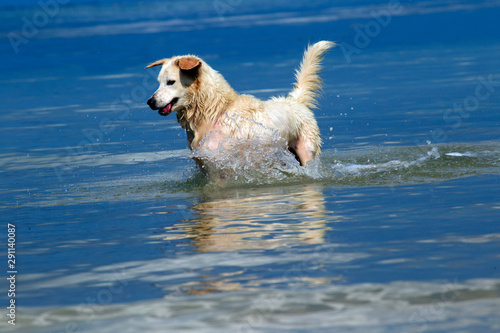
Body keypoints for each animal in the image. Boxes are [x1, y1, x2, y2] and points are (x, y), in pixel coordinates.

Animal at [145, 40, 334, 167]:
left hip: (307, 152)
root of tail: (295, 100)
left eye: (171, 82)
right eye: (159, 82)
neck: (216, 111)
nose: (150, 102)